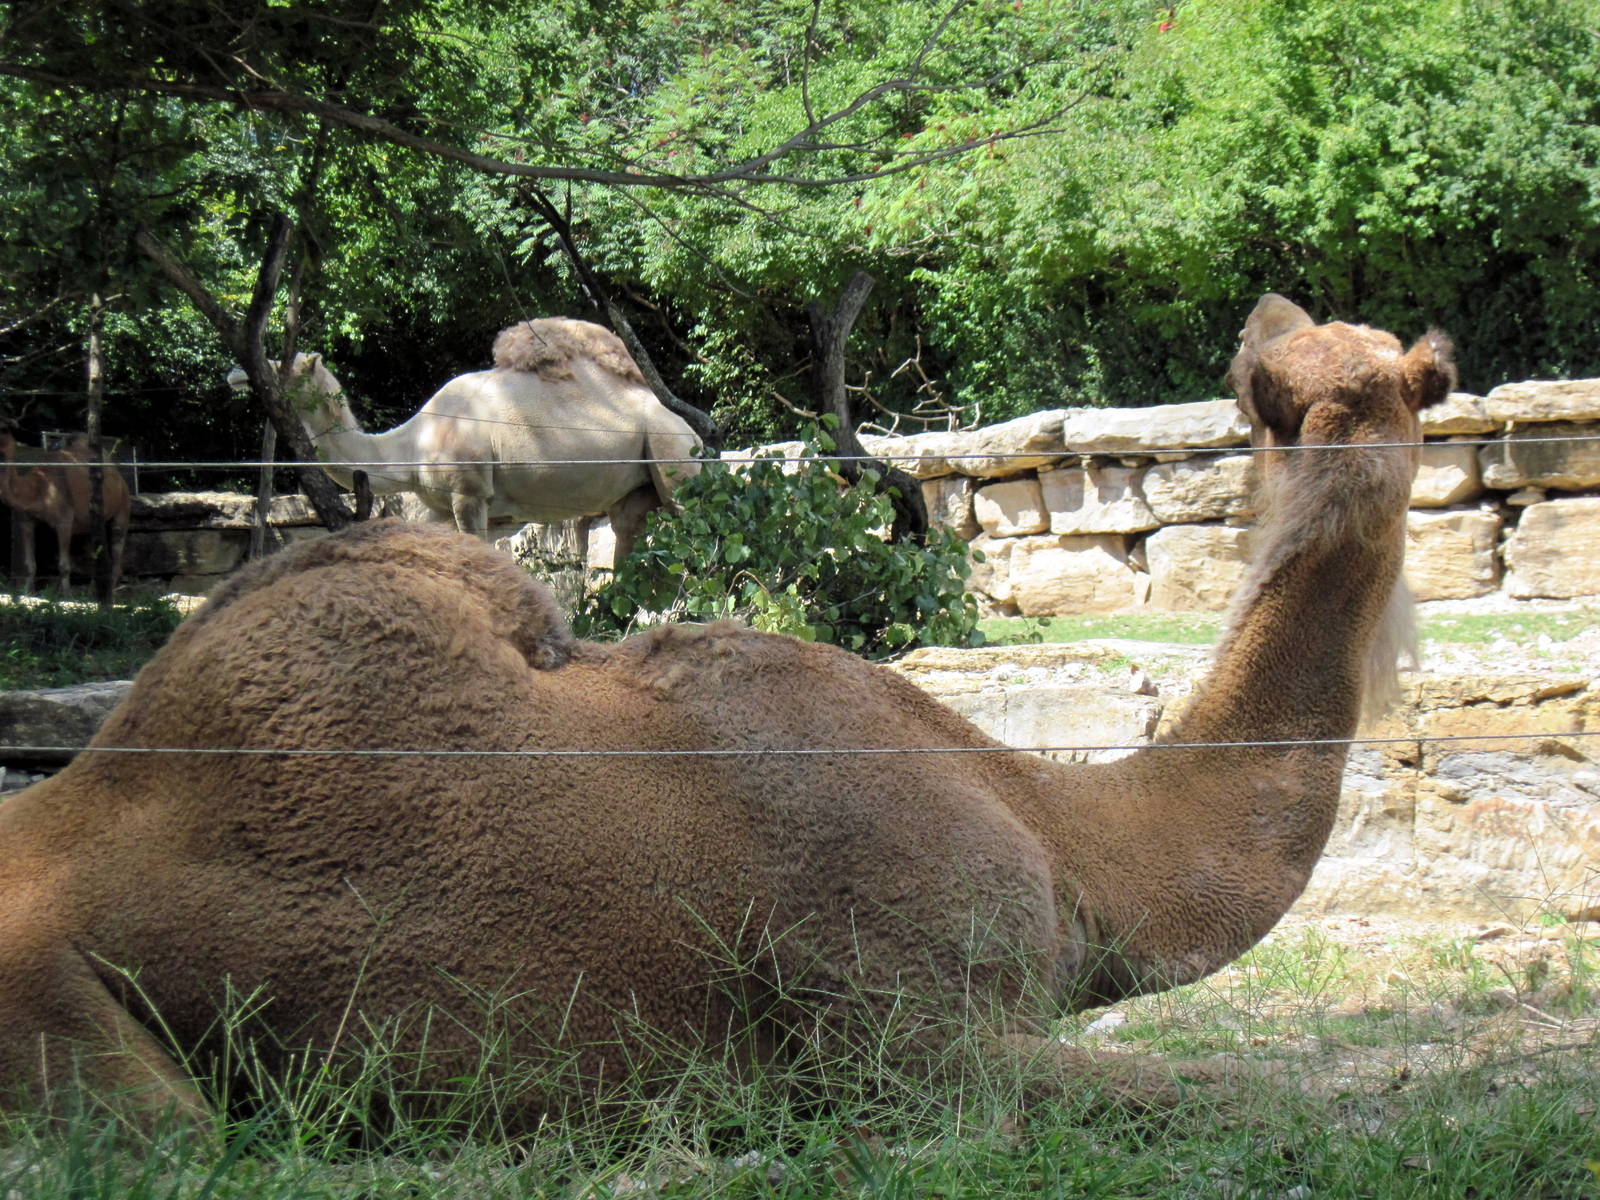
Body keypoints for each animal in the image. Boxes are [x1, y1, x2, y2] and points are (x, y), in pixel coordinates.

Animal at [0, 431, 131, 597]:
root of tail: (120, 479)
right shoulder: (26, 521)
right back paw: (92, 591)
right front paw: (28, 592)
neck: (38, 488)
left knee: (117, 545)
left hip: (123, 508)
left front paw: (67, 595)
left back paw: (110, 593)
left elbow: (63, 565)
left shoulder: (64, 520)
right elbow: (29, 564)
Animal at [226, 318, 703, 561]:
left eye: (284, 366)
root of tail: (692, 432)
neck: (409, 447)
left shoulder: (469, 493)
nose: (234, 373)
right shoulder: (441, 510)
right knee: (627, 532)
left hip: (674, 458)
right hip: (638, 487)